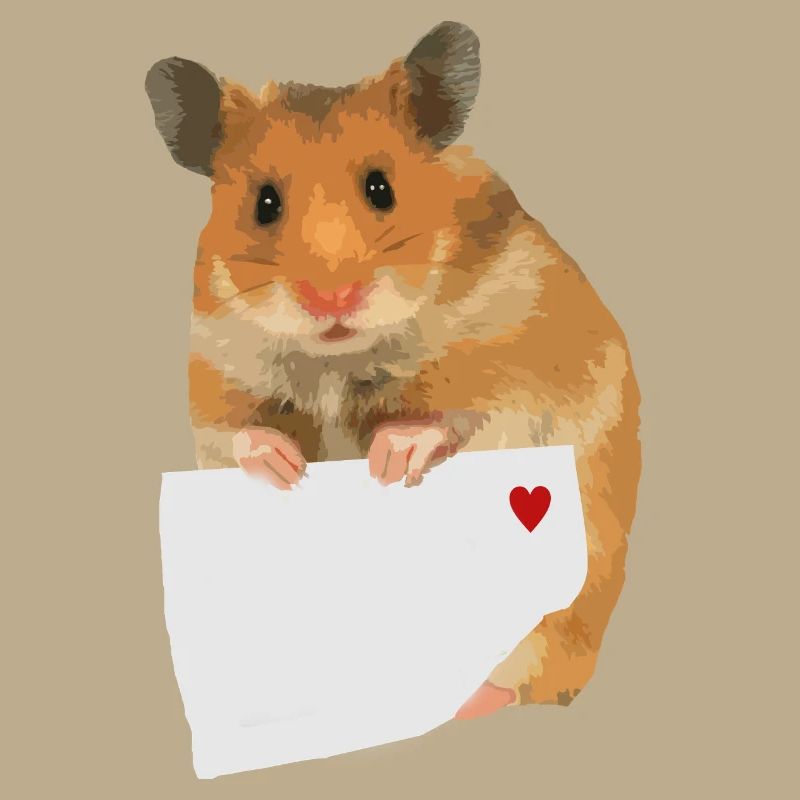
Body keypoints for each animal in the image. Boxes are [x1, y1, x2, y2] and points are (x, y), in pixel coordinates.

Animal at [145, 21, 641, 717]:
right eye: (264, 203)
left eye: (382, 188)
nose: (331, 299)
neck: (339, 356)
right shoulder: (215, 368)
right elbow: (240, 433)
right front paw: (288, 469)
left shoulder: (520, 367)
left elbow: (459, 417)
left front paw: (387, 457)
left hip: (573, 604)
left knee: (539, 673)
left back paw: (468, 701)